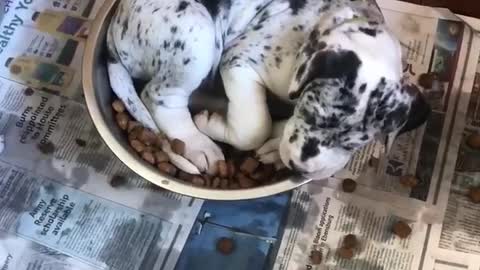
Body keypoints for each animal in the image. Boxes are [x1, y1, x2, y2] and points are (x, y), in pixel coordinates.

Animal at [107, 0, 430, 179]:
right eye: (311, 115)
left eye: (354, 145)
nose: (299, 168)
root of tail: (114, 29)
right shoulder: (239, 61)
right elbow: (254, 127)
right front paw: (214, 125)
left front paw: (276, 147)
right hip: (196, 30)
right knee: (161, 98)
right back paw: (198, 145)